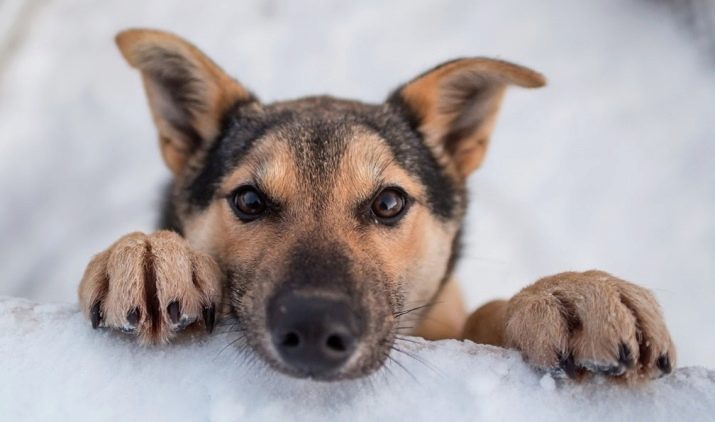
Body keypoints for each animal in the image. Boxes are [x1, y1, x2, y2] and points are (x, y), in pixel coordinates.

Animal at [78, 28, 676, 382]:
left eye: (389, 202)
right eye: (248, 199)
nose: (314, 332)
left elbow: (483, 314)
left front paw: (569, 294)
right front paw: (149, 254)